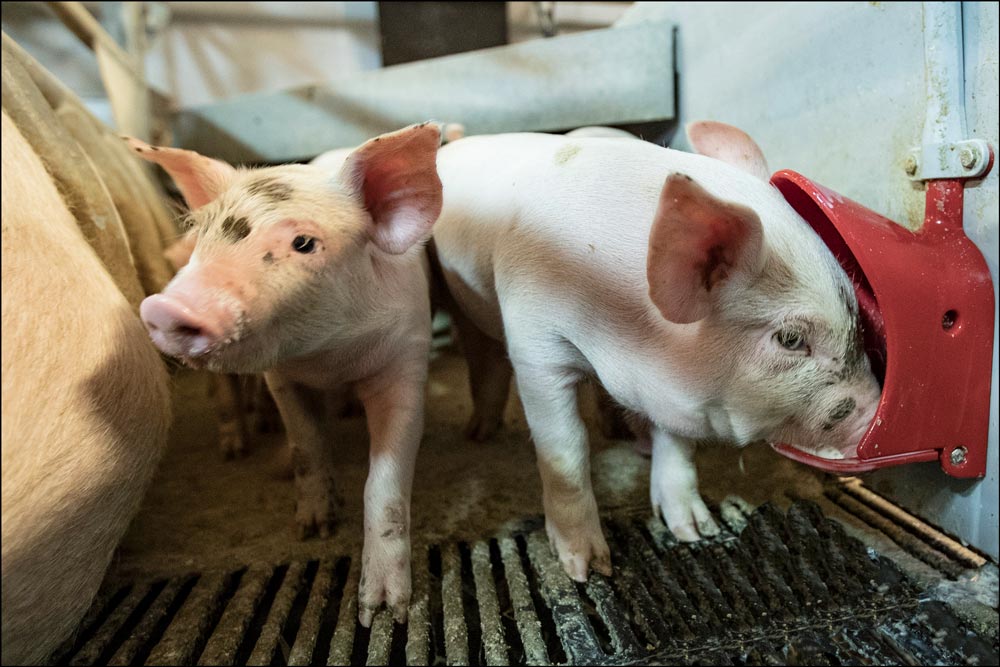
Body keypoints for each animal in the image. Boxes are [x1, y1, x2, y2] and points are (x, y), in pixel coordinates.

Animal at [131, 121, 444, 628]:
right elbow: (307, 446)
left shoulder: (405, 360)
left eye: (303, 243)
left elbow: (385, 483)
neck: (331, 357)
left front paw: (381, 612)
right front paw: (312, 531)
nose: (164, 307)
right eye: (202, 236)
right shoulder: (280, 377)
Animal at [434, 122, 880, 580]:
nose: (875, 413)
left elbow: (678, 445)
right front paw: (588, 569)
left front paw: (697, 532)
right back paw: (480, 434)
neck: (615, 318)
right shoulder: (535, 344)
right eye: (790, 339)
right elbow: (565, 447)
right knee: (484, 355)